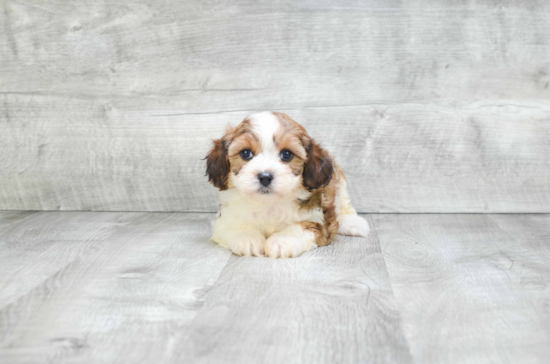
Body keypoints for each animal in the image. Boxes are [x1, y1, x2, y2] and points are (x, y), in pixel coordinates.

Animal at [206, 111, 370, 258]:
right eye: (246, 153)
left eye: (287, 154)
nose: (265, 177)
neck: (268, 204)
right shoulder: (224, 218)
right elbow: (234, 224)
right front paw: (247, 238)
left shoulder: (317, 221)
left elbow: (299, 226)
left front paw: (282, 241)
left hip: (338, 181)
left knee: (343, 204)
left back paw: (352, 223)